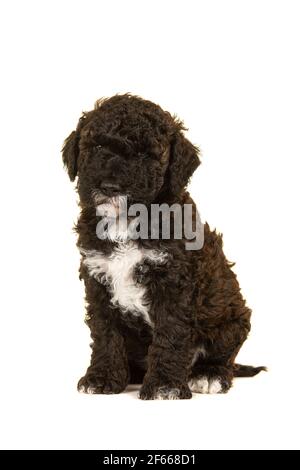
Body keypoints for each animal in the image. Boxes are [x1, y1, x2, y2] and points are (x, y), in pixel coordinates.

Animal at [61, 93, 264, 398]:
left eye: (146, 155)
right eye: (96, 146)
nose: (110, 187)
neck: (127, 222)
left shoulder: (174, 283)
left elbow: (171, 333)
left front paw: (164, 385)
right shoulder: (97, 279)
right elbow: (105, 333)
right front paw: (102, 377)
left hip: (231, 319)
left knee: (224, 355)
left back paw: (209, 374)